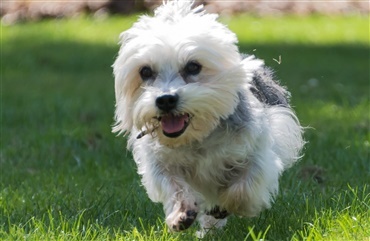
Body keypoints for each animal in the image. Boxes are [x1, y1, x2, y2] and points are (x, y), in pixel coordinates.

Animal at [112, 0, 304, 235]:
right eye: (145, 71)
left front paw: (226, 205)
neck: (198, 137)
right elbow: (174, 185)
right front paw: (181, 213)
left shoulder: (258, 151)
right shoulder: (159, 163)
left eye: (193, 66)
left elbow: (243, 187)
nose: (165, 100)